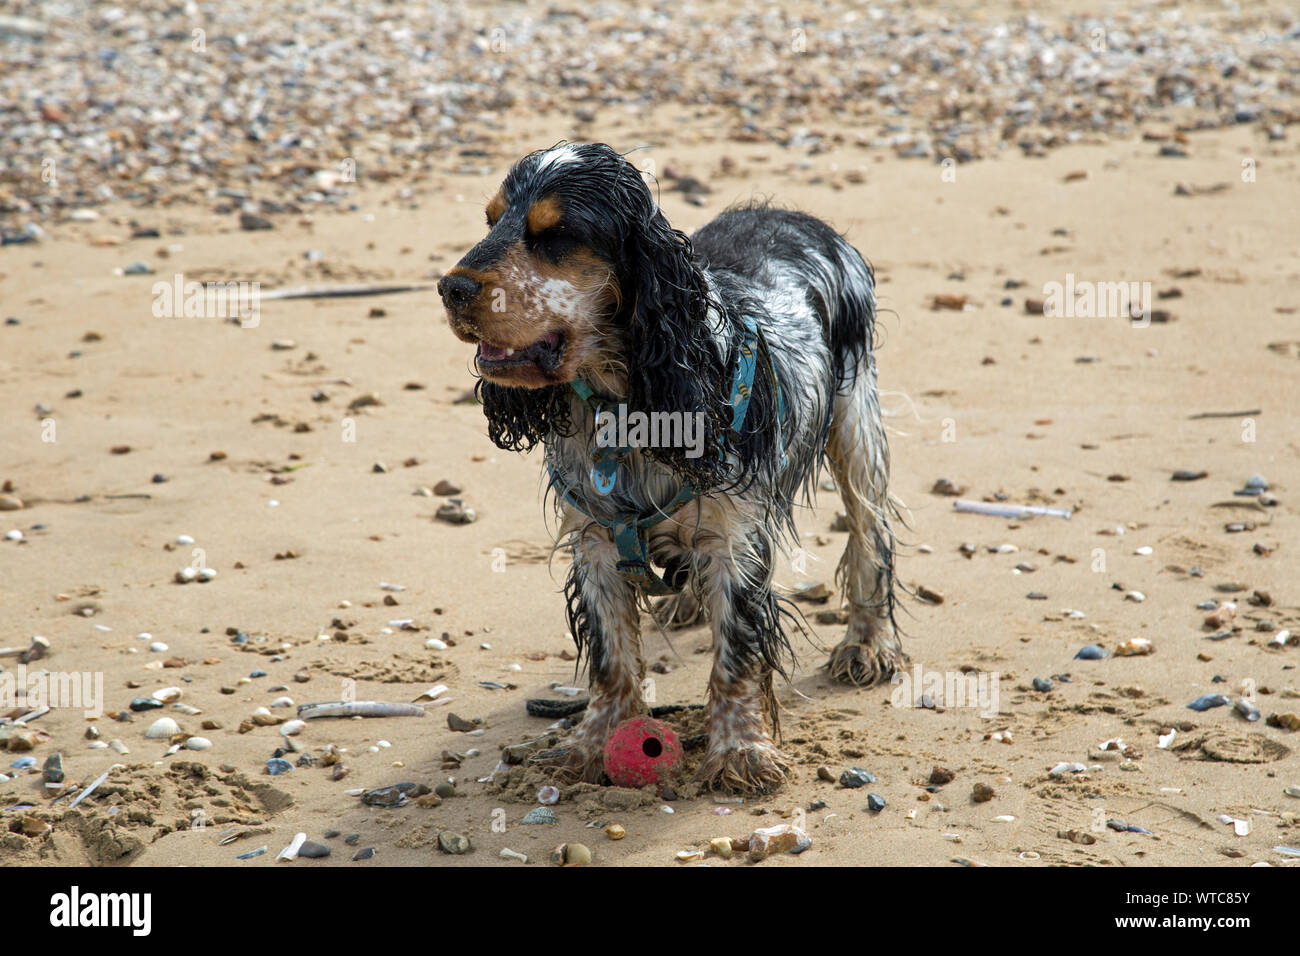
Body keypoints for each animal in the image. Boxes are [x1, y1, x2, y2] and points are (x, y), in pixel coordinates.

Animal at [436, 141, 904, 790]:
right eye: (490, 220)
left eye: (556, 234)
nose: (449, 288)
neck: (628, 402)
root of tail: (799, 217)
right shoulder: (596, 541)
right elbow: (611, 658)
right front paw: (592, 742)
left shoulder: (734, 539)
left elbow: (736, 656)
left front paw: (740, 752)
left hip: (855, 421)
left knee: (869, 534)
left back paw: (867, 644)